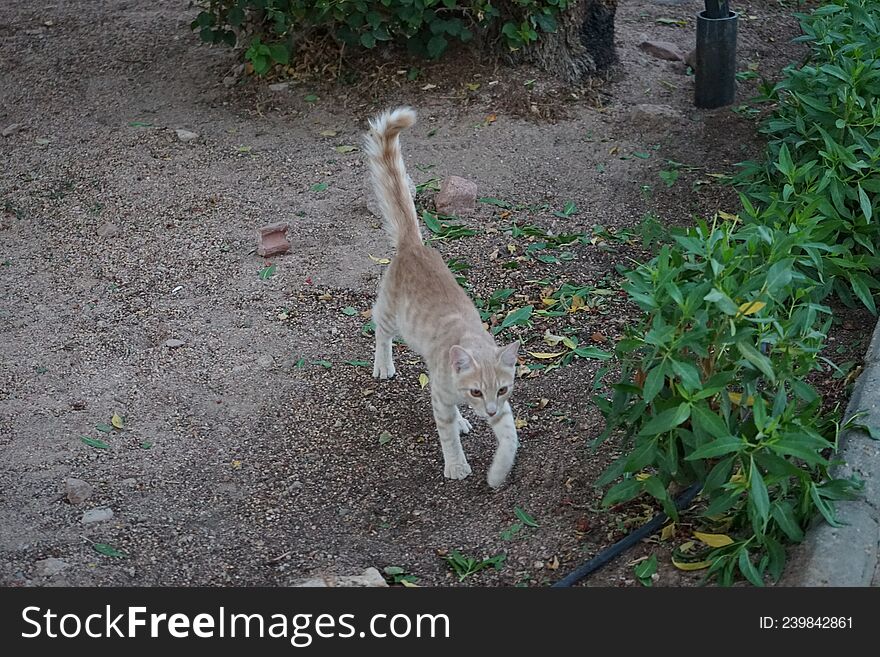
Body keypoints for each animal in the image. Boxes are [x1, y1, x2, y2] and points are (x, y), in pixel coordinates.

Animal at [360, 107, 520, 486]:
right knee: (381, 331)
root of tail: (414, 246)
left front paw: (497, 474)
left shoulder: (503, 410)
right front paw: (458, 467)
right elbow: (446, 435)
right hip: (390, 314)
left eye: (501, 390)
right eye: (476, 390)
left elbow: (510, 438)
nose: (487, 410)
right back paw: (383, 365)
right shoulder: (442, 401)